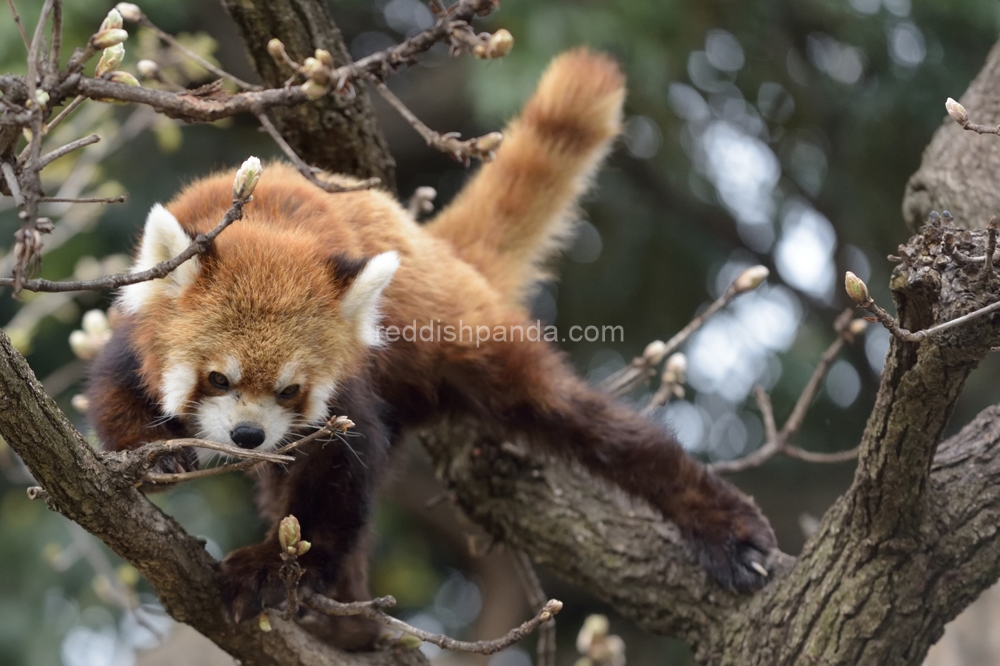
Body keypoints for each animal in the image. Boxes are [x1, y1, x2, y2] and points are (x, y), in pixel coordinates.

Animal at [88, 49, 772, 644]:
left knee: (582, 421)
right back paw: (350, 619)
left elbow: (337, 479)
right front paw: (154, 456)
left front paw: (270, 571)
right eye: (218, 380)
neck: (264, 224)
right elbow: (114, 393)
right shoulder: (135, 330)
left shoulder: (351, 389)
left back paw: (724, 525)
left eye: (290, 389)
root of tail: (433, 245)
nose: (249, 438)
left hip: (463, 339)